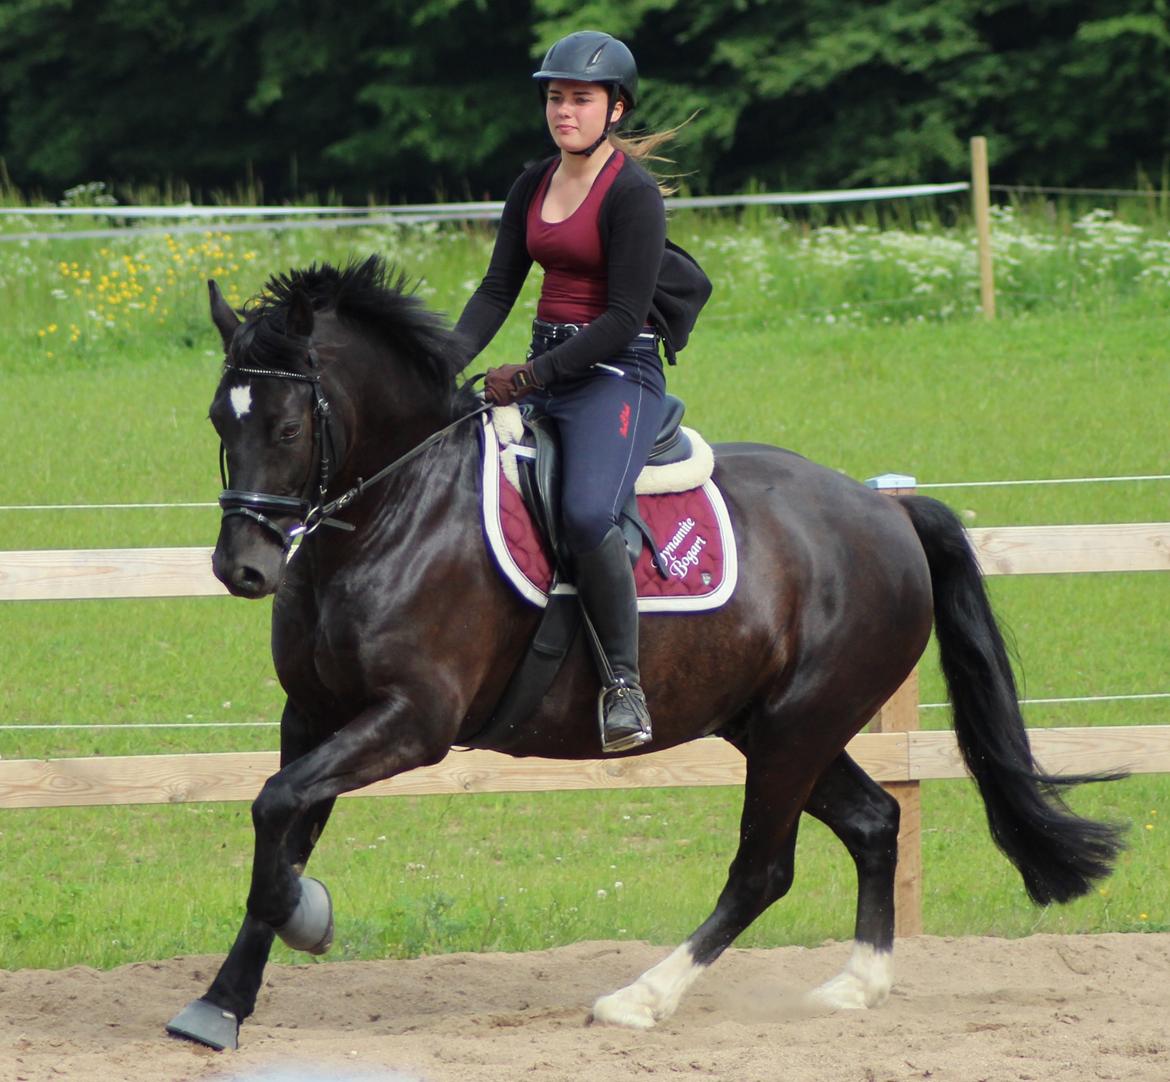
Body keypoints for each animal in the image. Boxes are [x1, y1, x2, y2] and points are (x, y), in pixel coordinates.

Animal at [167, 255, 1123, 1048]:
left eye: (288, 430)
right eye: (217, 418)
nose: (241, 568)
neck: (394, 512)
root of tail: (886, 512)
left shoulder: (411, 721)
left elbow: (276, 815)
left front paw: (298, 924)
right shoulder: (315, 716)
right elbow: (282, 825)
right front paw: (227, 998)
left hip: (798, 727)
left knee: (763, 871)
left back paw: (641, 999)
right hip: (773, 725)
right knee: (874, 821)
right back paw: (856, 986)